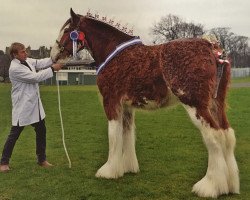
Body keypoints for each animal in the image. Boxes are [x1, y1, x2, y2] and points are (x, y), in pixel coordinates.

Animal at [49, 8, 239, 198]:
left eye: (67, 30)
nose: (53, 55)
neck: (114, 53)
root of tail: (210, 46)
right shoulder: (126, 107)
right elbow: (127, 134)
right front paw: (127, 167)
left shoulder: (111, 102)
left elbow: (113, 135)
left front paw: (109, 171)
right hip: (215, 104)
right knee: (227, 134)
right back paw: (230, 185)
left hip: (195, 105)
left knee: (214, 136)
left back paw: (209, 186)